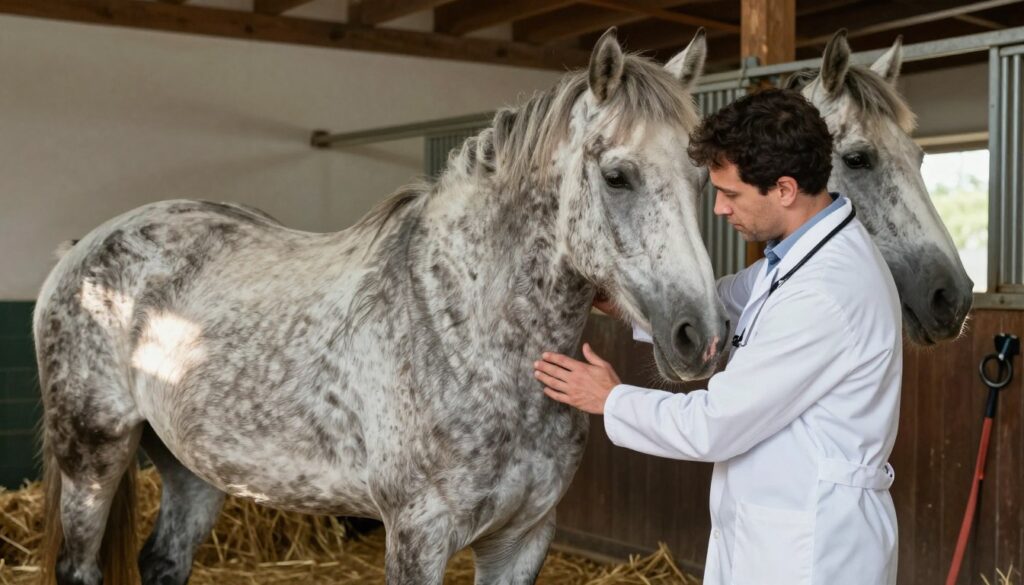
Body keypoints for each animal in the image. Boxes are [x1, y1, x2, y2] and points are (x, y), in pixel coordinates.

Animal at [34, 29, 724, 585]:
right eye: (617, 176)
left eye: (702, 180)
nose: (700, 336)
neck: (463, 332)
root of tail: (81, 248)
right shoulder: (419, 535)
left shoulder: (523, 539)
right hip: (92, 457)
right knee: (80, 565)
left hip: (190, 471)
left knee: (164, 560)